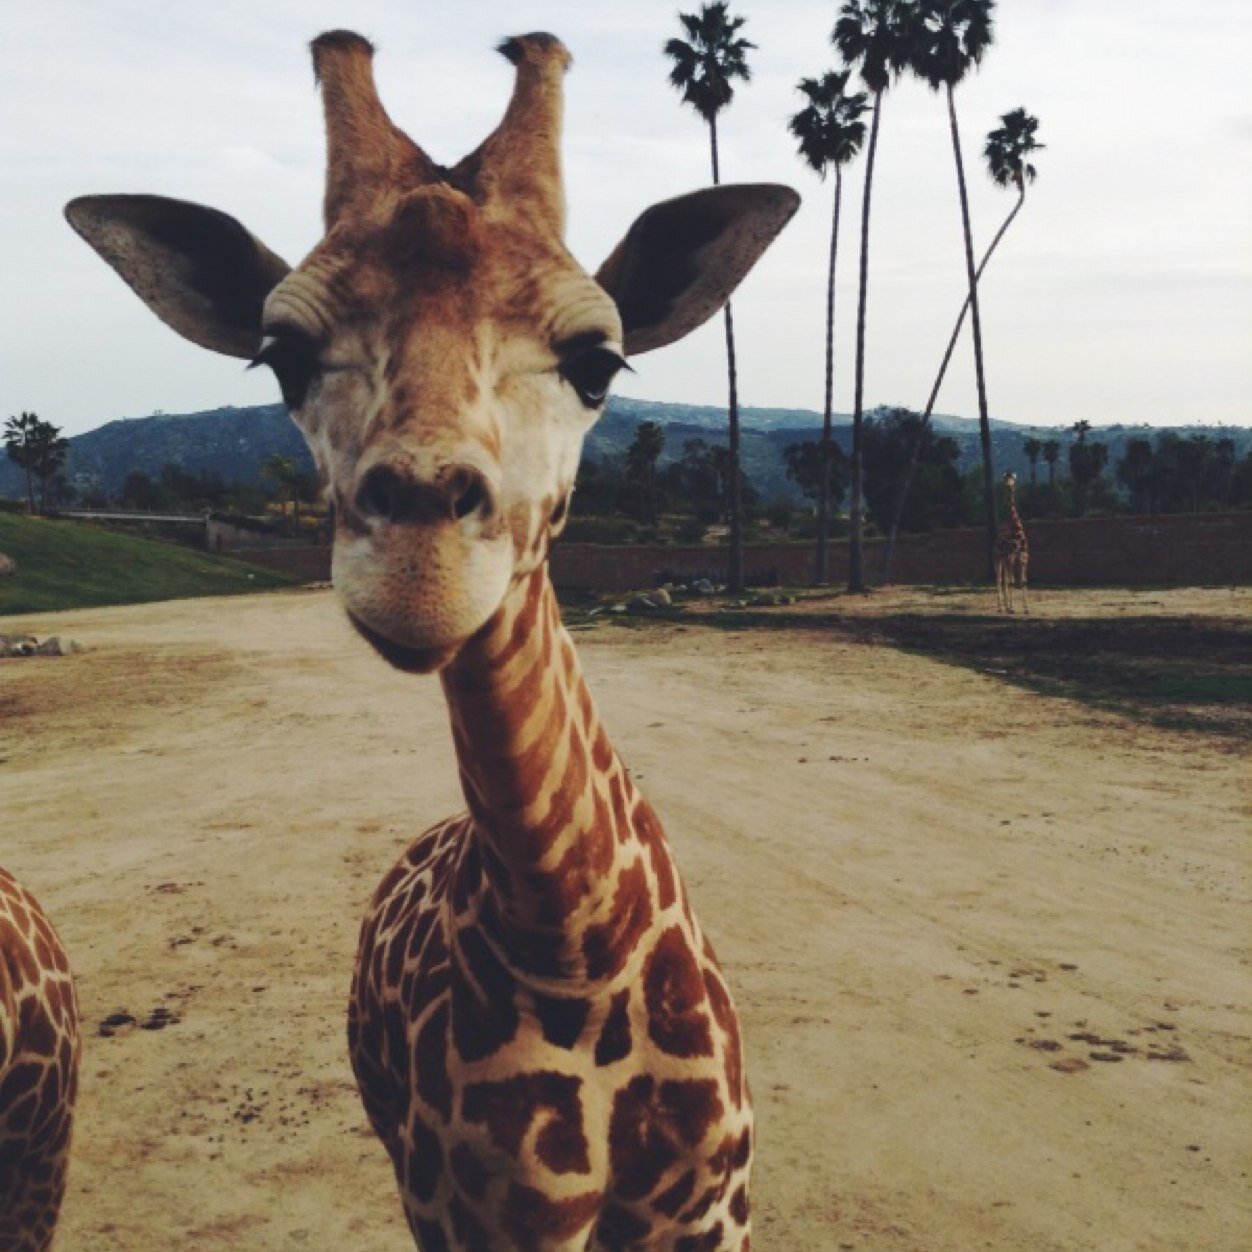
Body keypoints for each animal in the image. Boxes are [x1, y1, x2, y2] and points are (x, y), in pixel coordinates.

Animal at [65, 30, 798, 1251]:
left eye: (598, 361)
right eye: (280, 355)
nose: (419, 571)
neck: (571, 950)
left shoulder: (712, 1208)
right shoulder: (479, 1216)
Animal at [993, 470, 1030, 613]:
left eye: (1013, 480)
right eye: (1005, 479)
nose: (1009, 486)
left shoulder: (1023, 557)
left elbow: (1022, 581)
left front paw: (1026, 609)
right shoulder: (1011, 557)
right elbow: (1011, 582)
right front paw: (1012, 607)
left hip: (1005, 559)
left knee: (1005, 579)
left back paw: (1005, 606)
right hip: (998, 558)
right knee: (999, 579)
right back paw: (1001, 607)